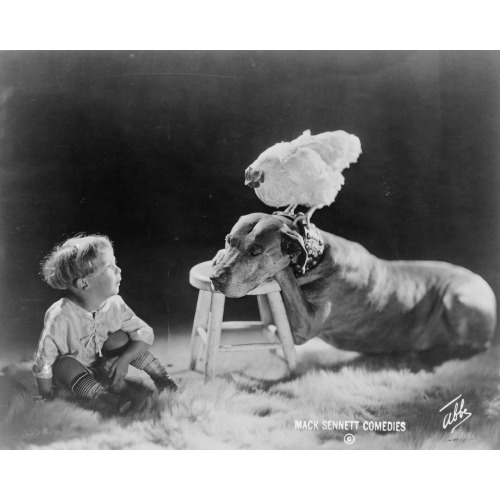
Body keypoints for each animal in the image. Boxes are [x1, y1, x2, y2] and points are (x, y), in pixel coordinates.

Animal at [210, 213, 496, 362]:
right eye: (228, 240)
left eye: (255, 252)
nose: (216, 279)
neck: (315, 255)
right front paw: (217, 257)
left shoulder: (303, 326)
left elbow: (285, 280)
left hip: (457, 297)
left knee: (478, 345)